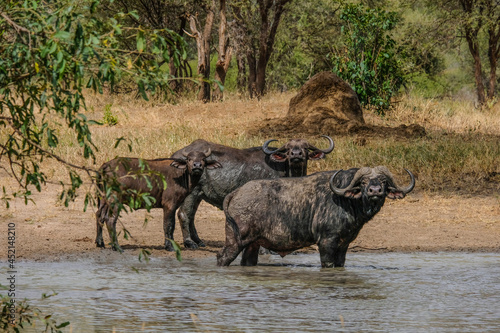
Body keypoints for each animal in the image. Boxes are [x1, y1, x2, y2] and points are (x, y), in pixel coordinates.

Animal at [217, 166, 416, 268]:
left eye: (383, 181)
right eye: (363, 182)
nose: (375, 191)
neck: (346, 201)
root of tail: (236, 192)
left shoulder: (344, 244)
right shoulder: (326, 242)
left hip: (253, 245)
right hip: (235, 241)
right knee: (222, 258)